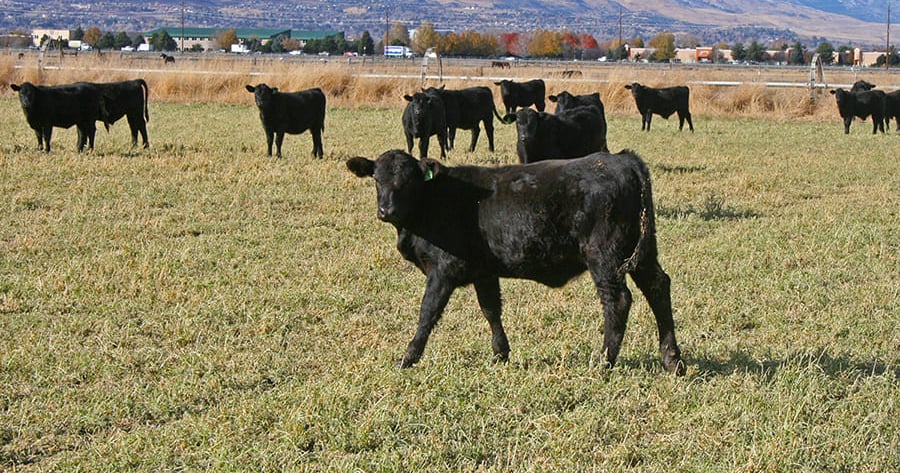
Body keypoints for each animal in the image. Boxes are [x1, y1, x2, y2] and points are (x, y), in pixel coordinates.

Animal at [345, 149, 685, 375]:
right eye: (377, 179)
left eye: (409, 181)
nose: (386, 210)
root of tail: (621, 158)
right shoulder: (483, 271)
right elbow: (491, 310)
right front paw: (500, 354)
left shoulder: (443, 271)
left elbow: (427, 314)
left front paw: (408, 358)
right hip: (642, 253)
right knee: (658, 288)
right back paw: (672, 360)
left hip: (604, 256)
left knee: (618, 301)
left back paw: (604, 363)